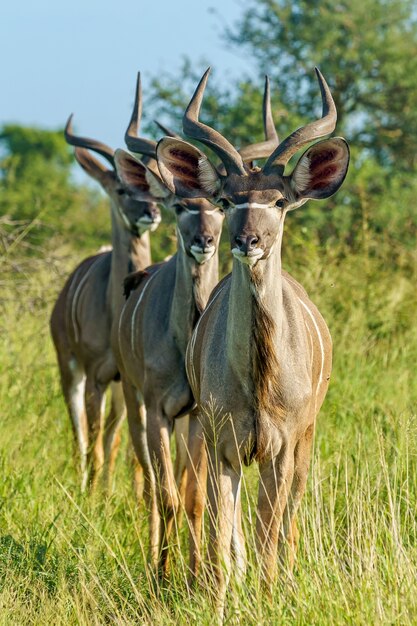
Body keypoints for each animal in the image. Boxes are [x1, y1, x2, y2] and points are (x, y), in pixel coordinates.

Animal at [50, 114, 162, 490]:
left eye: (154, 188)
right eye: (122, 189)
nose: (151, 212)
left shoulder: (123, 380)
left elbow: (117, 439)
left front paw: (115, 491)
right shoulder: (95, 375)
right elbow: (94, 436)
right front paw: (92, 492)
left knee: (110, 434)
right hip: (70, 369)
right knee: (81, 430)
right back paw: (84, 478)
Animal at [112, 72, 278, 572]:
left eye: (218, 206)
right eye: (181, 206)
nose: (205, 241)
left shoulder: (199, 418)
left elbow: (195, 498)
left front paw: (195, 572)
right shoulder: (158, 409)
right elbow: (167, 494)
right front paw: (163, 574)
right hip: (133, 401)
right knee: (151, 484)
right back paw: (157, 559)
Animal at [156, 67, 348, 608]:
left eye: (279, 201)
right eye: (226, 200)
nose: (247, 240)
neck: (259, 383)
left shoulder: (281, 449)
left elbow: (270, 532)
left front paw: (271, 596)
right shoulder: (222, 442)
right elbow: (223, 535)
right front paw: (219, 601)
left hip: (305, 441)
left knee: (288, 523)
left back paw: (288, 578)